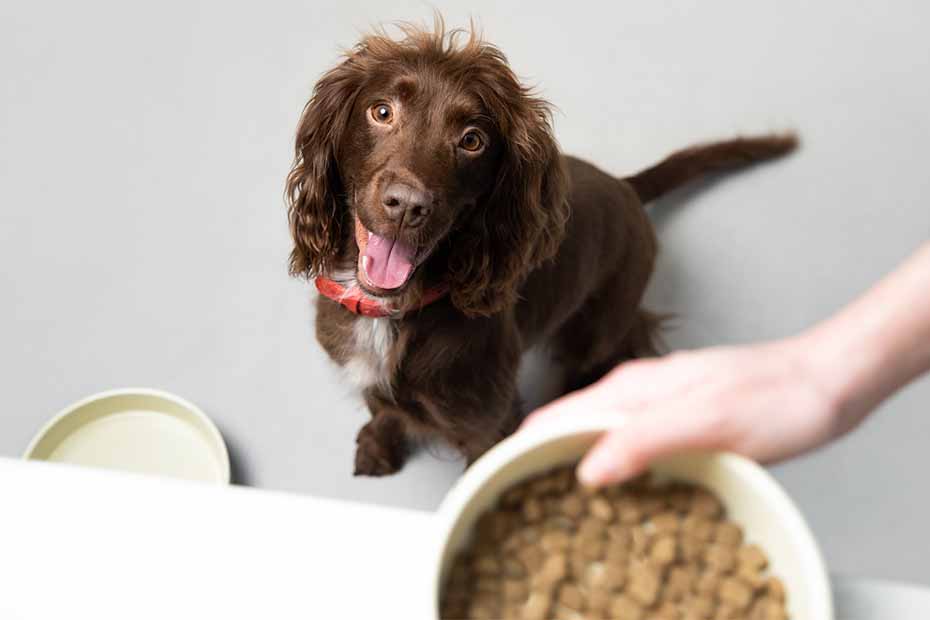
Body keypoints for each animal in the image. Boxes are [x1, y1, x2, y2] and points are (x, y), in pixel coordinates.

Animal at [286, 24, 792, 474]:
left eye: (472, 140)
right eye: (382, 112)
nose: (407, 205)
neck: (391, 313)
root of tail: (626, 187)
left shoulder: (489, 423)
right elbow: (382, 406)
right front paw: (379, 445)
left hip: (601, 323)